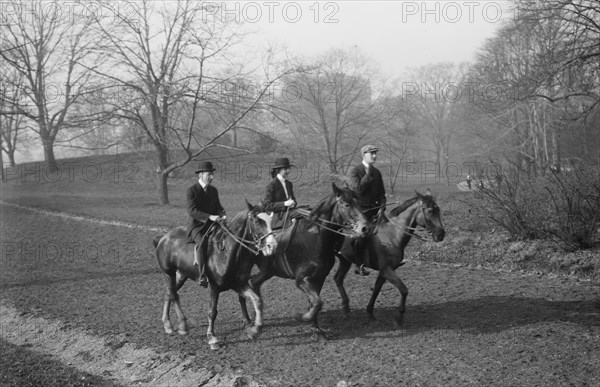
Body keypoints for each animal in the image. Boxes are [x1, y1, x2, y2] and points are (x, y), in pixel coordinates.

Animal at [154, 202, 278, 350]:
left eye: (270, 220)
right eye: (256, 221)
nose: (272, 246)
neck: (228, 252)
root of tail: (164, 238)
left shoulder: (239, 284)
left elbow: (257, 300)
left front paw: (254, 330)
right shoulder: (214, 287)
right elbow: (212, 312)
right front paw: (212, 338)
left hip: (181, 275)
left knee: (168, 293)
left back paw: (167, 324)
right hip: (169, 273)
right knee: (173, 295)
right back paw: (182, 326)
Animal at [240, 183, 370, 342]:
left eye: (359, 203)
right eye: (346, 204)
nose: (365, 227)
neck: (314, 237)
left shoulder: (319, 278)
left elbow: (315, 302)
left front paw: (317, 329)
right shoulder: (302, 280)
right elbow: (317, 302)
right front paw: (302, 317)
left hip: (268, 271)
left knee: (253, 284)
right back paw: (249, 321)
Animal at [332, 189, 446, 326]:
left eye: (438, 209)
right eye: (430, 211)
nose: (440, 234)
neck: (393, 235)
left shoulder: (384, 271)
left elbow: (376, 290)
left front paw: (370, 313)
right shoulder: (387, 270)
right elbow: (403, 290)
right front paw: (399, 318)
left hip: (345, 261)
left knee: (338, 279)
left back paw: (346, 309)